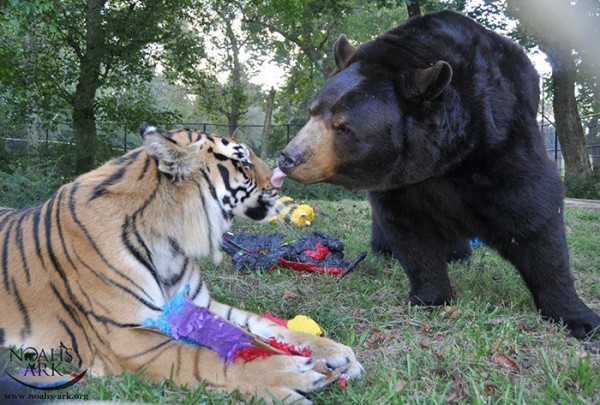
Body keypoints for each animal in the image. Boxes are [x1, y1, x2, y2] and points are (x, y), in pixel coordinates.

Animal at [0, 124, 360, 402]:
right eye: (242, 161)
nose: (279, 180)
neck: (170, 242)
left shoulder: (201, 304)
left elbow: (263, 325)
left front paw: (337, 353)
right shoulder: (122, 336)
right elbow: (200, 357)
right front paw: (287, 373)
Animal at [274, 10, 600, 338]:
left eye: (343, 127)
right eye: (313, 111)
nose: (289, 156)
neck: (444, 158)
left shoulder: (500, 139)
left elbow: (533, 216)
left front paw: (578, 316)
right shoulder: (400, 180)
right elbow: (410, 230)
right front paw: (430, 296)